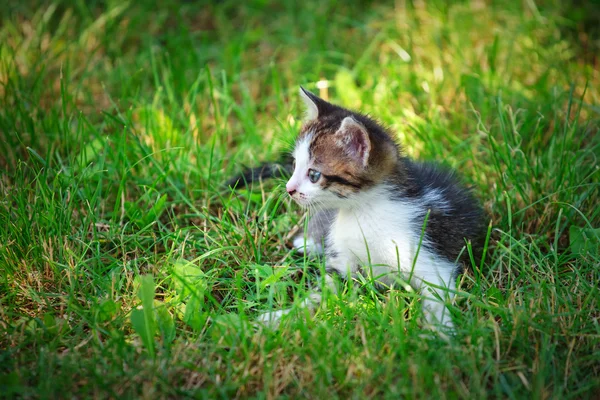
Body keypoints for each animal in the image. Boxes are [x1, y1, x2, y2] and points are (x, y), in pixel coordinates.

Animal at [244, 87, 482, 332]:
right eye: (294, 165)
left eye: (314, 175)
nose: (289, 189)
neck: (362, 212)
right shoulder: (341, 264)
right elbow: (318, 294)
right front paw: (280, 317)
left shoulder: (430, 256)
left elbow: (437, 296)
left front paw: (440, 332)